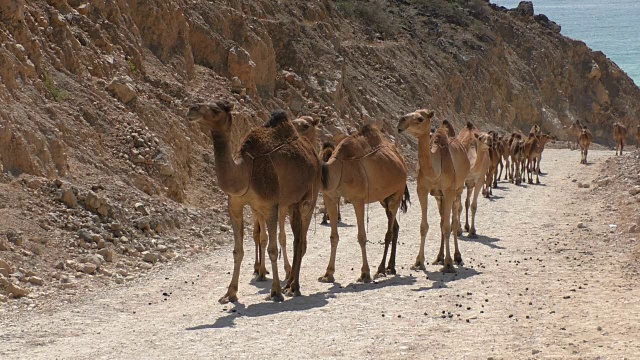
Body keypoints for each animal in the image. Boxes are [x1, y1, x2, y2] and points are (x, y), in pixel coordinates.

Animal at [188, 102, 322, 302]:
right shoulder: (235, 205)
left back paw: (294, 287)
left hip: (309, 196)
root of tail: (314, 154)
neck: (246, 170)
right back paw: (289, 284)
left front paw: (275, 291)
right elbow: (238, 250)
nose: (192, 109)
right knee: (298, 239)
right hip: (292, 202)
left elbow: (273, 248)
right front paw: (230, 293)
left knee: (301, 240)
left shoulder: (271, 204)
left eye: (216, 109)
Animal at [316, 124, 410, 284]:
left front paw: (365, 273)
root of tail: (401, 160)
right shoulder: (331, 197)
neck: (339, 169)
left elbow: (361, 236)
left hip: (397, 192)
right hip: (383, 198)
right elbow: (333, 236)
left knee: (389, 231)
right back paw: (391, 267)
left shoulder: (358, 199)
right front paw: (328, 274)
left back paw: (381, 269)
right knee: (395, 227)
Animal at [396, 111, 470, 272]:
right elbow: (424, 226)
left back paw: (457, 257)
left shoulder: (448, 191)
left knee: (454, 220)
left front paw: (449, 263)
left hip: (457, 191)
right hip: (439, 197)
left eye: (420, 118)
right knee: (442, 220)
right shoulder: (422, 190)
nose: (400, 121)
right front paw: (418, 262)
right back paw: (439, 257)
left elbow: (448, 226)